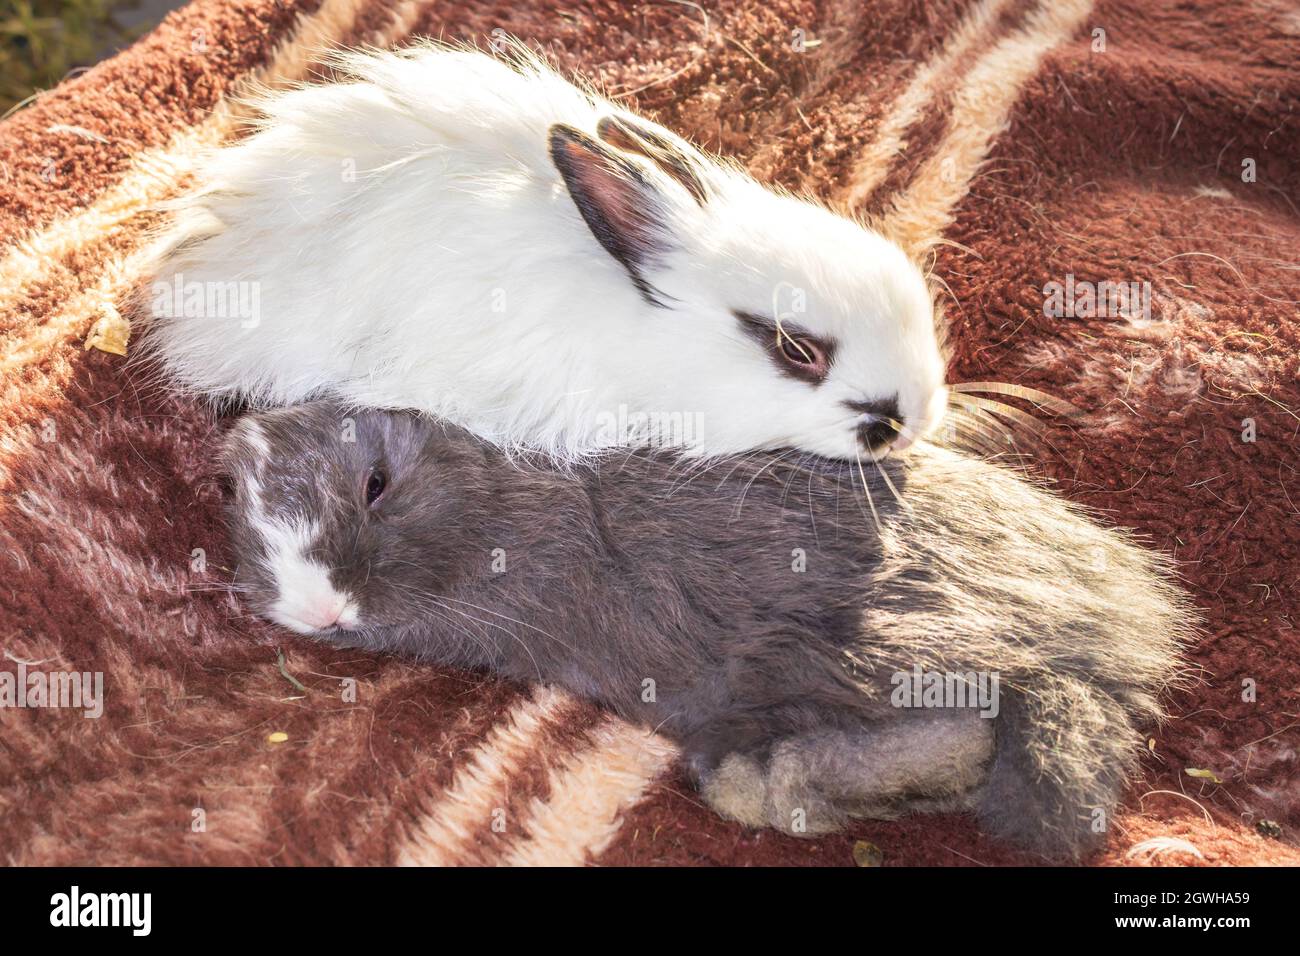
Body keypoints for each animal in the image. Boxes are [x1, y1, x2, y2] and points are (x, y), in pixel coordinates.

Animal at [217, 400, 1193, 860]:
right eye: (236, 502)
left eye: (375, 483)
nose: (314, 609)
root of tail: (1122, 638)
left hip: (870, 644)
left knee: (976, 725)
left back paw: (776, 782)